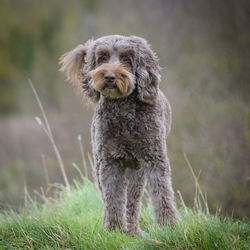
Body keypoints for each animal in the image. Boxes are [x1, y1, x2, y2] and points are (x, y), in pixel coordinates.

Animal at [59, 35, 179, 236]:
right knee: (111, 198)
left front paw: (169, 226)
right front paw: (114, 229)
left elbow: (162, 194)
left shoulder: (154, 159)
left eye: (126, 58)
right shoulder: (110, 162)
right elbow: (113, 198)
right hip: (100, 166)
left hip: (137, 172)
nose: (109, 76)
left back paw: (133, 231)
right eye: (103, 57)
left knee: (132, 202)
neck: (123, 110)